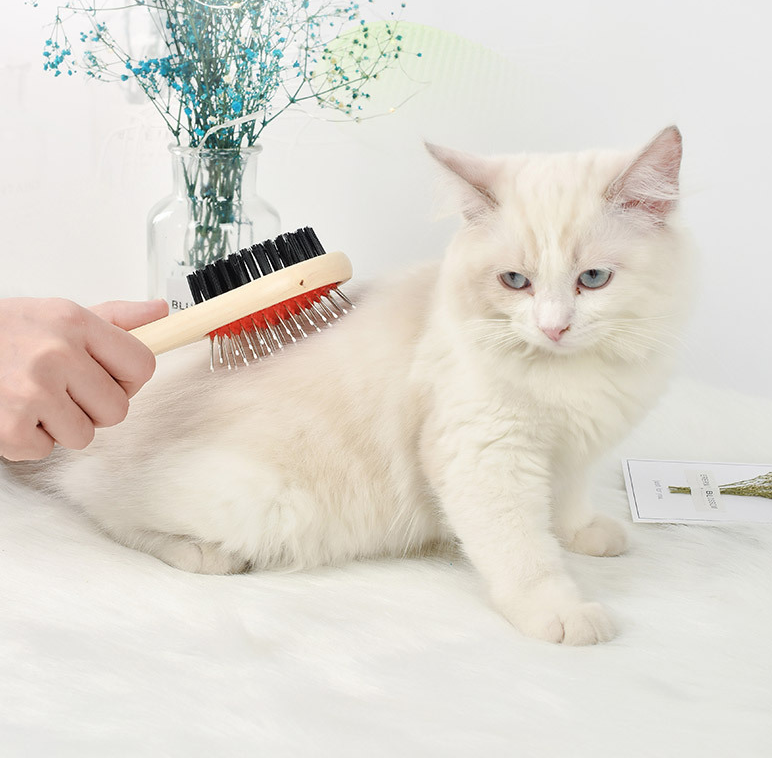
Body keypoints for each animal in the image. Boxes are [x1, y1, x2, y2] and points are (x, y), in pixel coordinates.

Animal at [36, 126, 692, 648]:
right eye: (514, 282)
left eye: (593, 279)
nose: (553, 327)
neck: (573, 372)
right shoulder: (484, 453)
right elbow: (522, 551)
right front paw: (558, 612)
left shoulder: (576, 448)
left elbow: (569, 500)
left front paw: (583, 534)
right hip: (261, 504)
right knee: (99, 507)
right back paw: (201, 553)